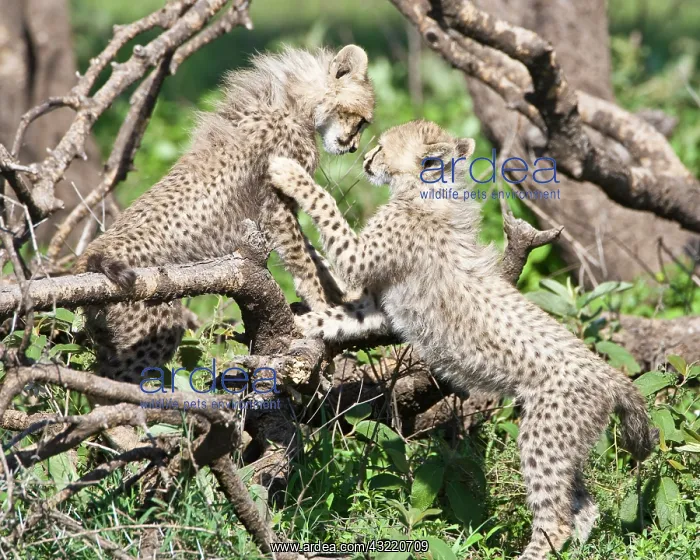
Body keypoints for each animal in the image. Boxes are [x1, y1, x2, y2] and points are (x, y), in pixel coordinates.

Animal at [74, 45, 374, 385]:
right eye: (361, 121)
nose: (353, 147)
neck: (296, 103)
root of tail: (89, 256)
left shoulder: (278, 212)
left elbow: (314, 254)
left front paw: (339, 289)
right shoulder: (277, 208)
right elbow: (303, 260)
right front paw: (321, 306)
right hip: (154, 327)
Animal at [267, 119, 656, 560]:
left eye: (382, 146)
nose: (365, 158)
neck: (425, 194)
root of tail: (608, 373)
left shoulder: (358, 259)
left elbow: (327, 209)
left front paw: (287, 172)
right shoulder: (375, 306)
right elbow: (336, 315)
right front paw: (302, 322)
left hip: (544, 435)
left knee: (556, 517)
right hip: (569, 442)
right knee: (584, 506)